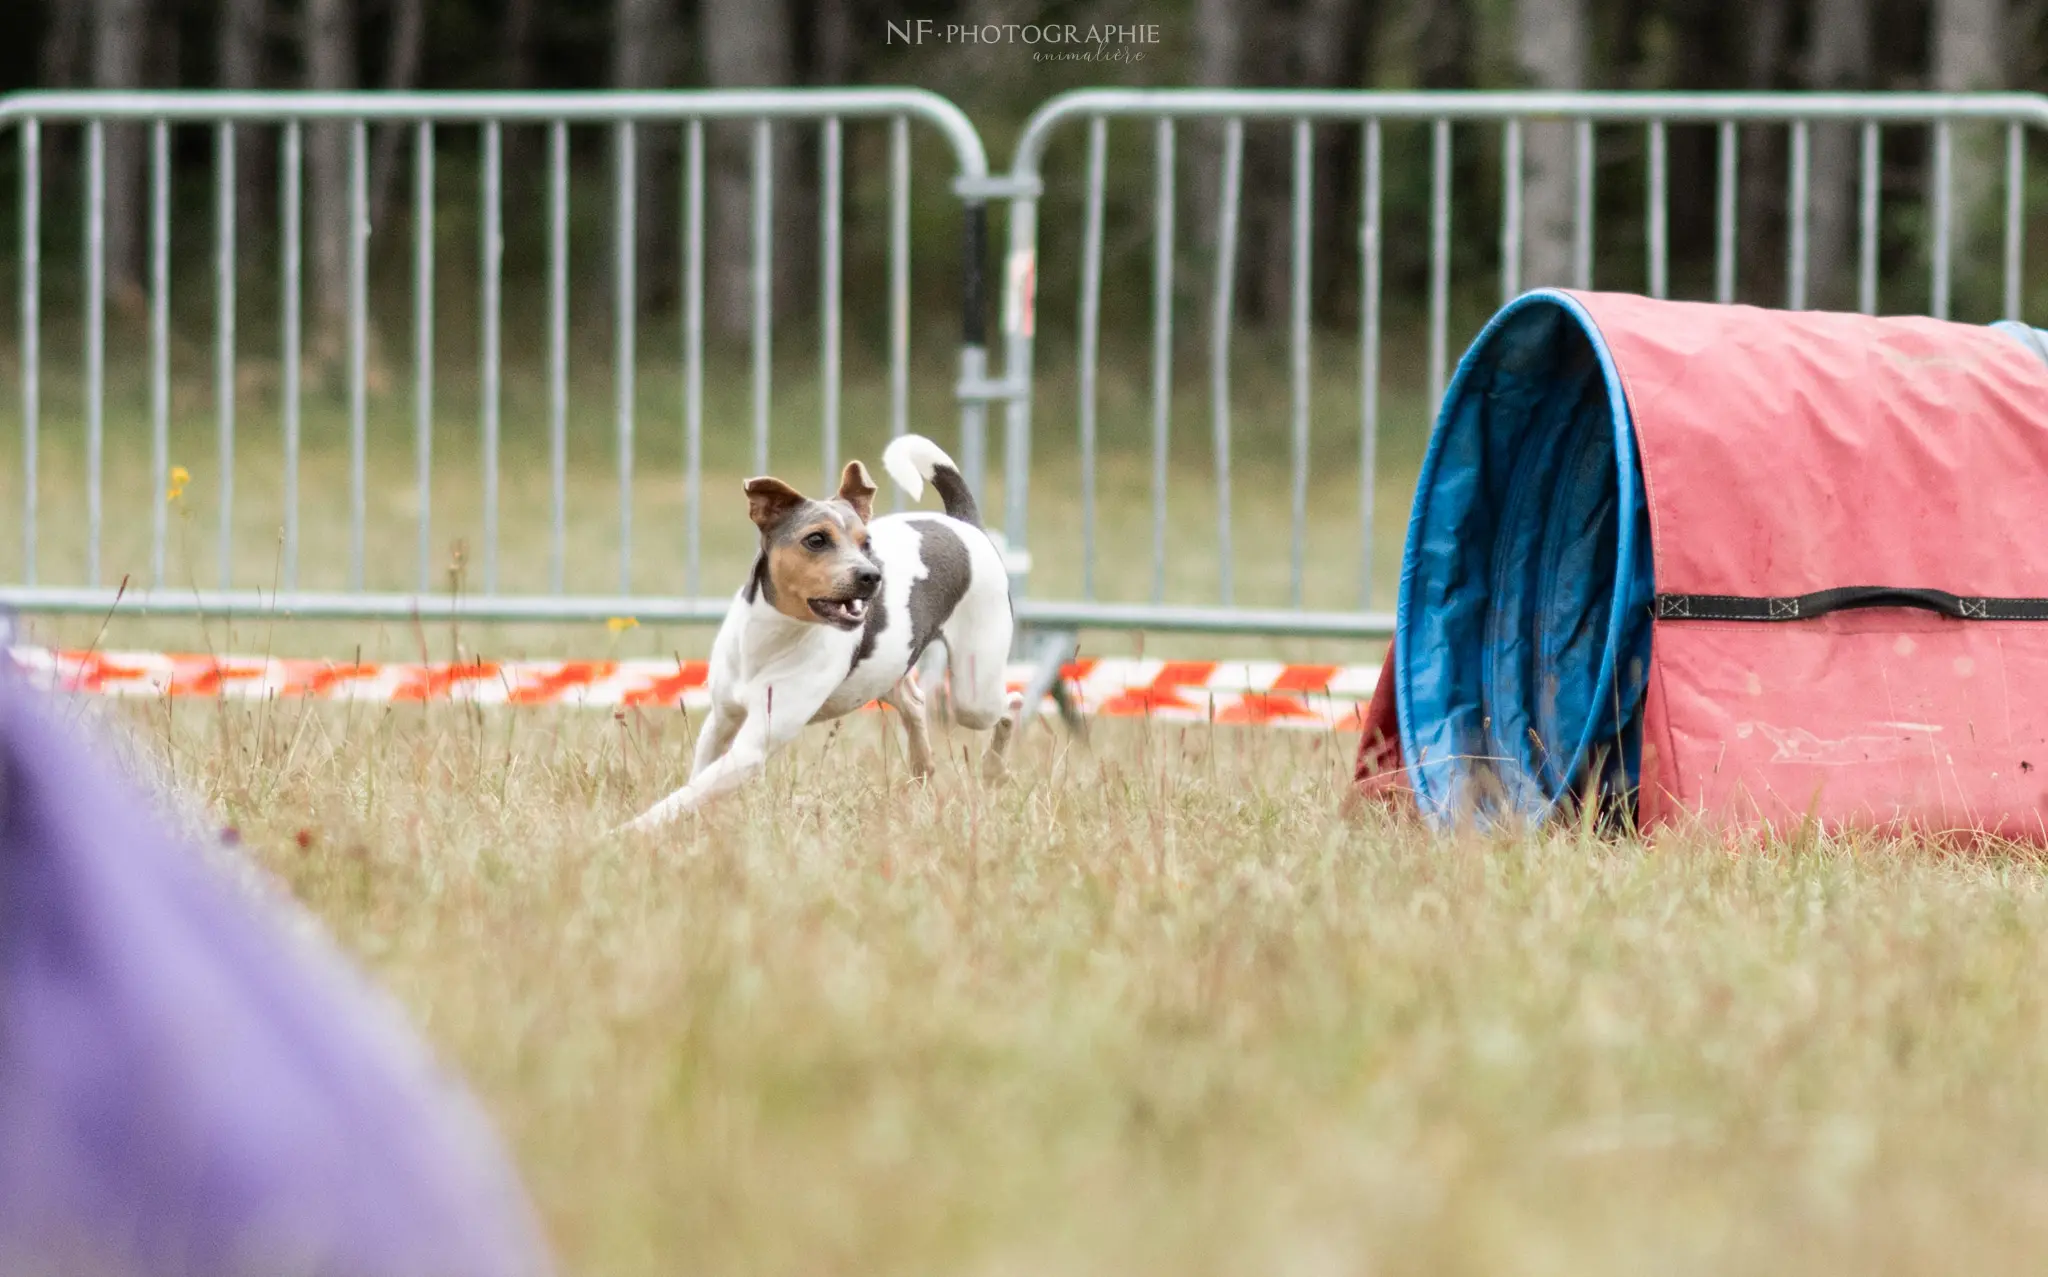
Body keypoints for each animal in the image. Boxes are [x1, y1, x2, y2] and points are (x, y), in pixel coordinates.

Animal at [610, 431, 1019, 826]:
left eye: (866, 543)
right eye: (816, 540)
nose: (872, 576)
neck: (773, 638)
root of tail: (964, 524)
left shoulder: (752, 748)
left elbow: (682, 797)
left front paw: (626, 831)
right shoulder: (722, 720)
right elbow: (696, 781)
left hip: (974, 692)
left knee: (1008, 705)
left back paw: (995, 768)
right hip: (885, 670)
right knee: (914, 701)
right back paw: (922, 766)